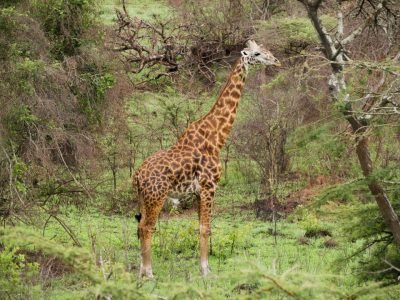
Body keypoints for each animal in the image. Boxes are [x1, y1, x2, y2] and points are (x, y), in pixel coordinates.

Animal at [133, 40, 280, 278]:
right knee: (147, 227)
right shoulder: (209, 187)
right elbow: (205, 228)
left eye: (265, 49)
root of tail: (136, 176)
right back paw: (149, 273)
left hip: (144, 198)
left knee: (140, 226)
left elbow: (200, 227)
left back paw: (140, 271)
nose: (276, 61)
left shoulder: (198, 192)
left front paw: (205, 267)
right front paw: (205, 270)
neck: (216, 137)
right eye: (257, 54)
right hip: (157, 196)